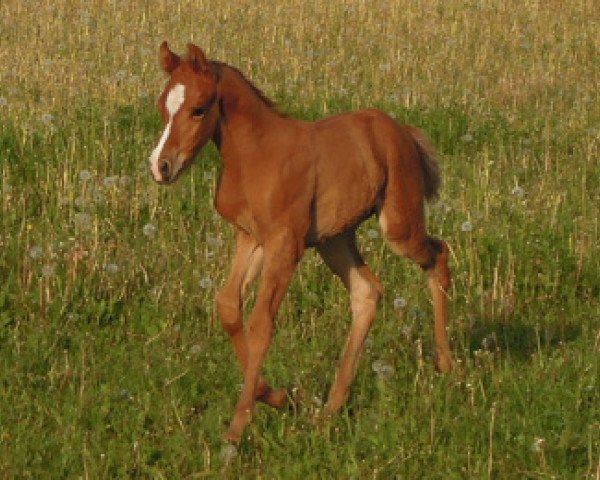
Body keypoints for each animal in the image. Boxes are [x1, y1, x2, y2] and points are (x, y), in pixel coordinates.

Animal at [149, 42, 450, 442]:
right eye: (162, 106)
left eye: (198, 109)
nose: (160, 166)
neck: (256, 155)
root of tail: (400, 129)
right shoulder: (251, 238)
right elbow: (228, 305)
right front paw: (279, 397)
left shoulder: (286, 244)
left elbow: (261, 323)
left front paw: (237, 427)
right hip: (333, 240)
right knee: (367, 292)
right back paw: (330, 409)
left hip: (399, 226)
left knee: (438, 254)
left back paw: (446, 364)